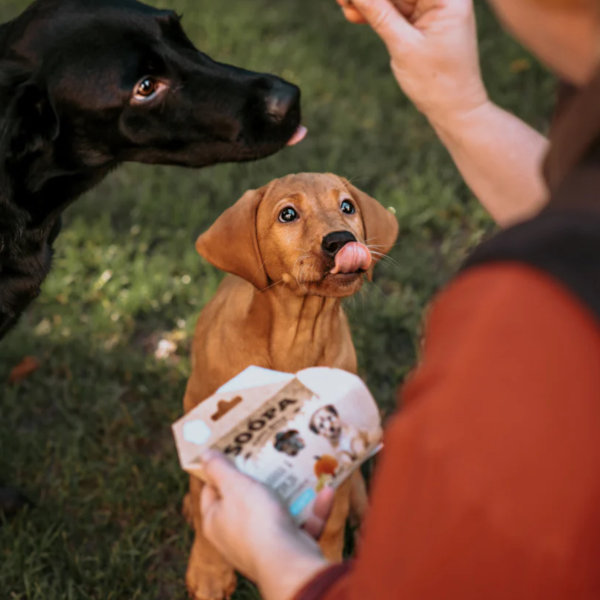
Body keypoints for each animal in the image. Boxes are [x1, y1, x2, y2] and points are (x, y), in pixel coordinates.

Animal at [183, 171, 398, 596]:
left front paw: (327, 566)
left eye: (347, 206)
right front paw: (211, 570)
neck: (297, 336)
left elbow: (333, 522)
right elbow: (203, 501)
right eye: (287, 214)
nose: (341, 240)